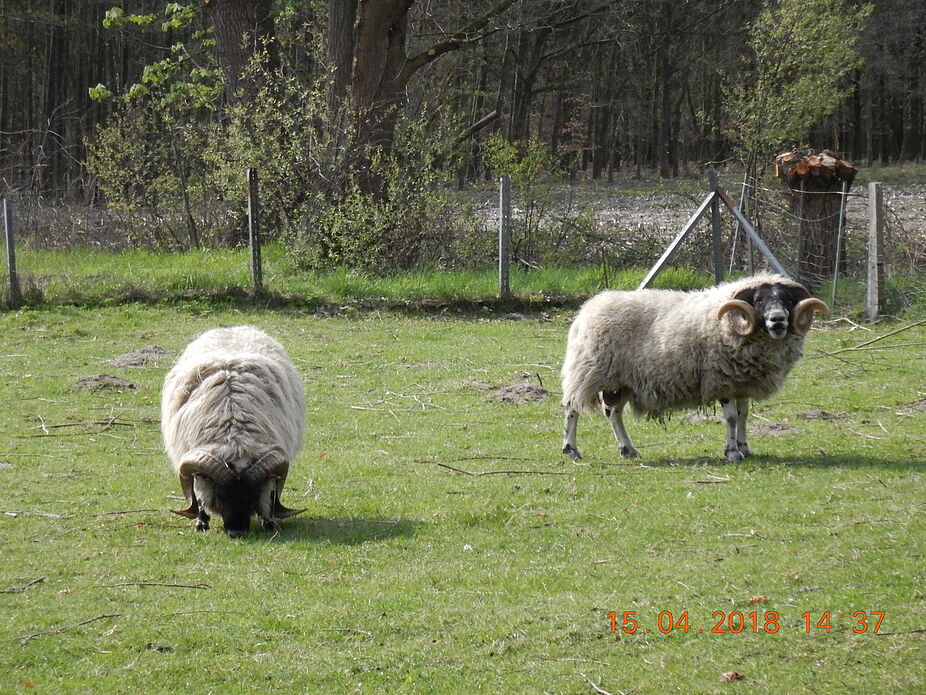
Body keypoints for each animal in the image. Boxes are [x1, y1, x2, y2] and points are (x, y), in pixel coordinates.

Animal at [161, 326, 306, 537]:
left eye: (252, 496)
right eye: (220, 495)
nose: (236, 533)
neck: (234, 438)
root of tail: (230, 328)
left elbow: (269, 493)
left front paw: (270, 522)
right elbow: (200, 492)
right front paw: (201, 523)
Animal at [560, 273, 829, 462]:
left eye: (788, 300)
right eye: (759, 300)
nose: (778, 320)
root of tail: (587, 309)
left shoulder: (741, 382)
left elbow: (743, 415)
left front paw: (745, 447)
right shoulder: (721, 379)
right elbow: (731, 417)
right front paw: (732, 452)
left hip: (622, 381)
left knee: (613, 413)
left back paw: (628, 449)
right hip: (588, 370)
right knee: (572, 407)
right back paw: (571, 449)